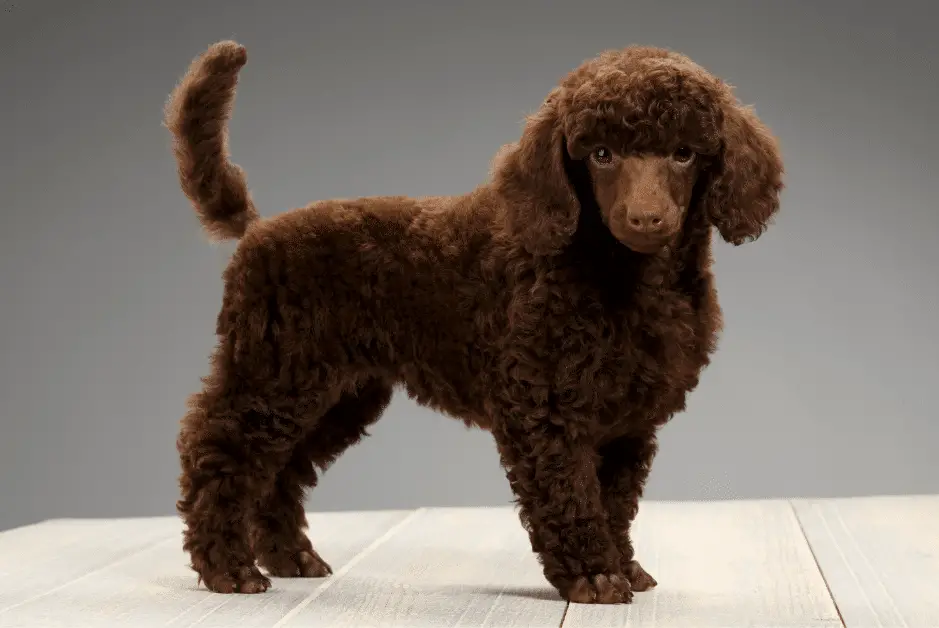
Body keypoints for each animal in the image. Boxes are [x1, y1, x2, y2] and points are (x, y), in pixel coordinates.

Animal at [165, 40, 784, 604]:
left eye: (684, 153)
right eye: (601, 154)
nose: (646, 218)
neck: (624, 279)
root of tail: (258, 229)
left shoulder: (628, 421)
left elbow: (613, 500)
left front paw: (623, 567)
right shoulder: (546, 409)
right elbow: (570, 493)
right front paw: (593, 575)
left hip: (336, 393)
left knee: (279, 469)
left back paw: (291, 557)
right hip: (272, 376)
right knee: (216, 452)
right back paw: (228, 569)